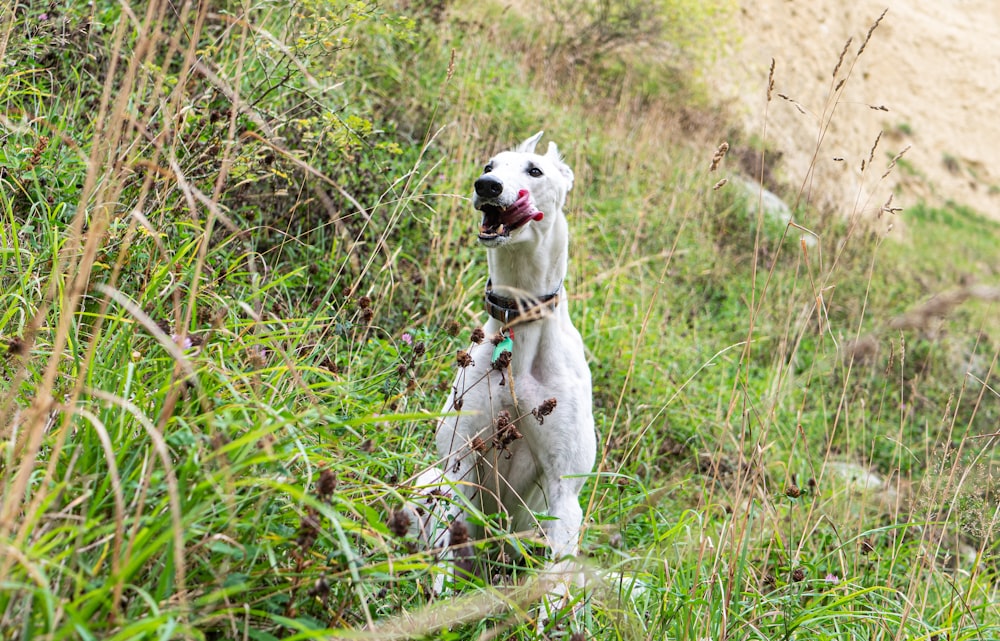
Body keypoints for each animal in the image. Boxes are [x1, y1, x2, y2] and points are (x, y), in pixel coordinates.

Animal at [410, 134, 596, 600]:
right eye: (489, 165)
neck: (520, 322)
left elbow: (553, 592)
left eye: (535, 170)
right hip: (428, 483)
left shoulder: (565, 492)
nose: (487, 186)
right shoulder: (457, 463)